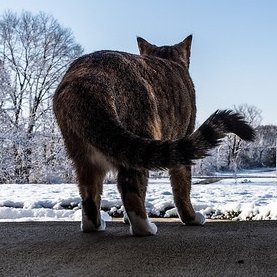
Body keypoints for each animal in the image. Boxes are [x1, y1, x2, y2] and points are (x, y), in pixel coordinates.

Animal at [52, 34, 254, 235]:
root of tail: (87, 77)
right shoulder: (183, 141)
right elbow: (182, 189)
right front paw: (191, 218)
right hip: (140, 135)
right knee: (130, 185)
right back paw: (145, 228)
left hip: (84, 155)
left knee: (89, 191)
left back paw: (95, 225)